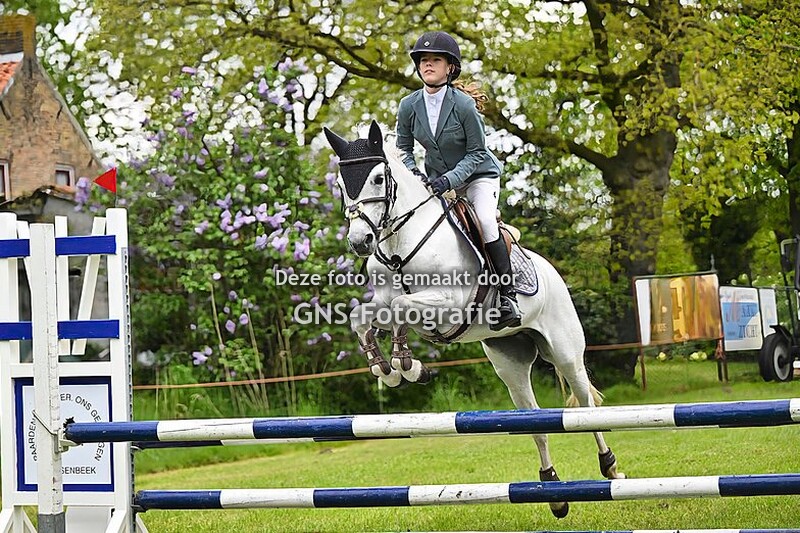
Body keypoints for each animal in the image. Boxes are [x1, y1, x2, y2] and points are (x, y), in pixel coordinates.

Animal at [323, 121, 625, 518]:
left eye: (376, 178)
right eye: (342, 185)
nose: (361, 242)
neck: (401, 243)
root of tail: (550, 270)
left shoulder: (448, 303)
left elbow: (402, 305)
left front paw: (405, 366)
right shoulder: (388, 302)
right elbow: (367, 315)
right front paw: (389, 369)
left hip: (565, 352)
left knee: (586, 406)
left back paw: (611, 468)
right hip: (510, 364)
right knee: (536, 423)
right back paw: (554, 492)